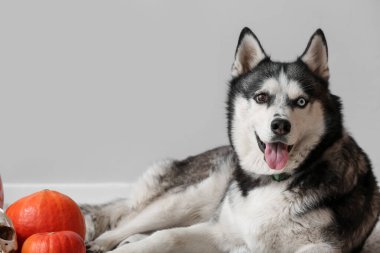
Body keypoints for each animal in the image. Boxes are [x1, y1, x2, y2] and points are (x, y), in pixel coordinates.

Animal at [84, 28, 380, 253]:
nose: (280, 125)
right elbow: (168, 236)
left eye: (301, 102)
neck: (272, 182)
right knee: (130, 221)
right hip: (189, 198)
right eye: (261, 97)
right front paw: (123, 250)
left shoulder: (322, 246)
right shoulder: (220, 230)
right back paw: (104, 241)